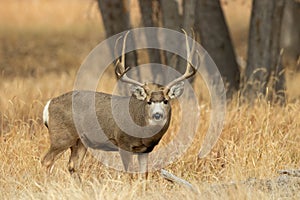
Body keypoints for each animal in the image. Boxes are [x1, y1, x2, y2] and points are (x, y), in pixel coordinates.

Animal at [41, 30, 198, 180]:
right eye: (148, 102)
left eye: (165, 101)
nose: (157, 115)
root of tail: (49, 104)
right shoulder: (123, 143)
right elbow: (130, 174)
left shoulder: (145, 150)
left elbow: (144, 176)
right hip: (61, 136)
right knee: (46, 161)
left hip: (80, 141)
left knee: (73, 165)